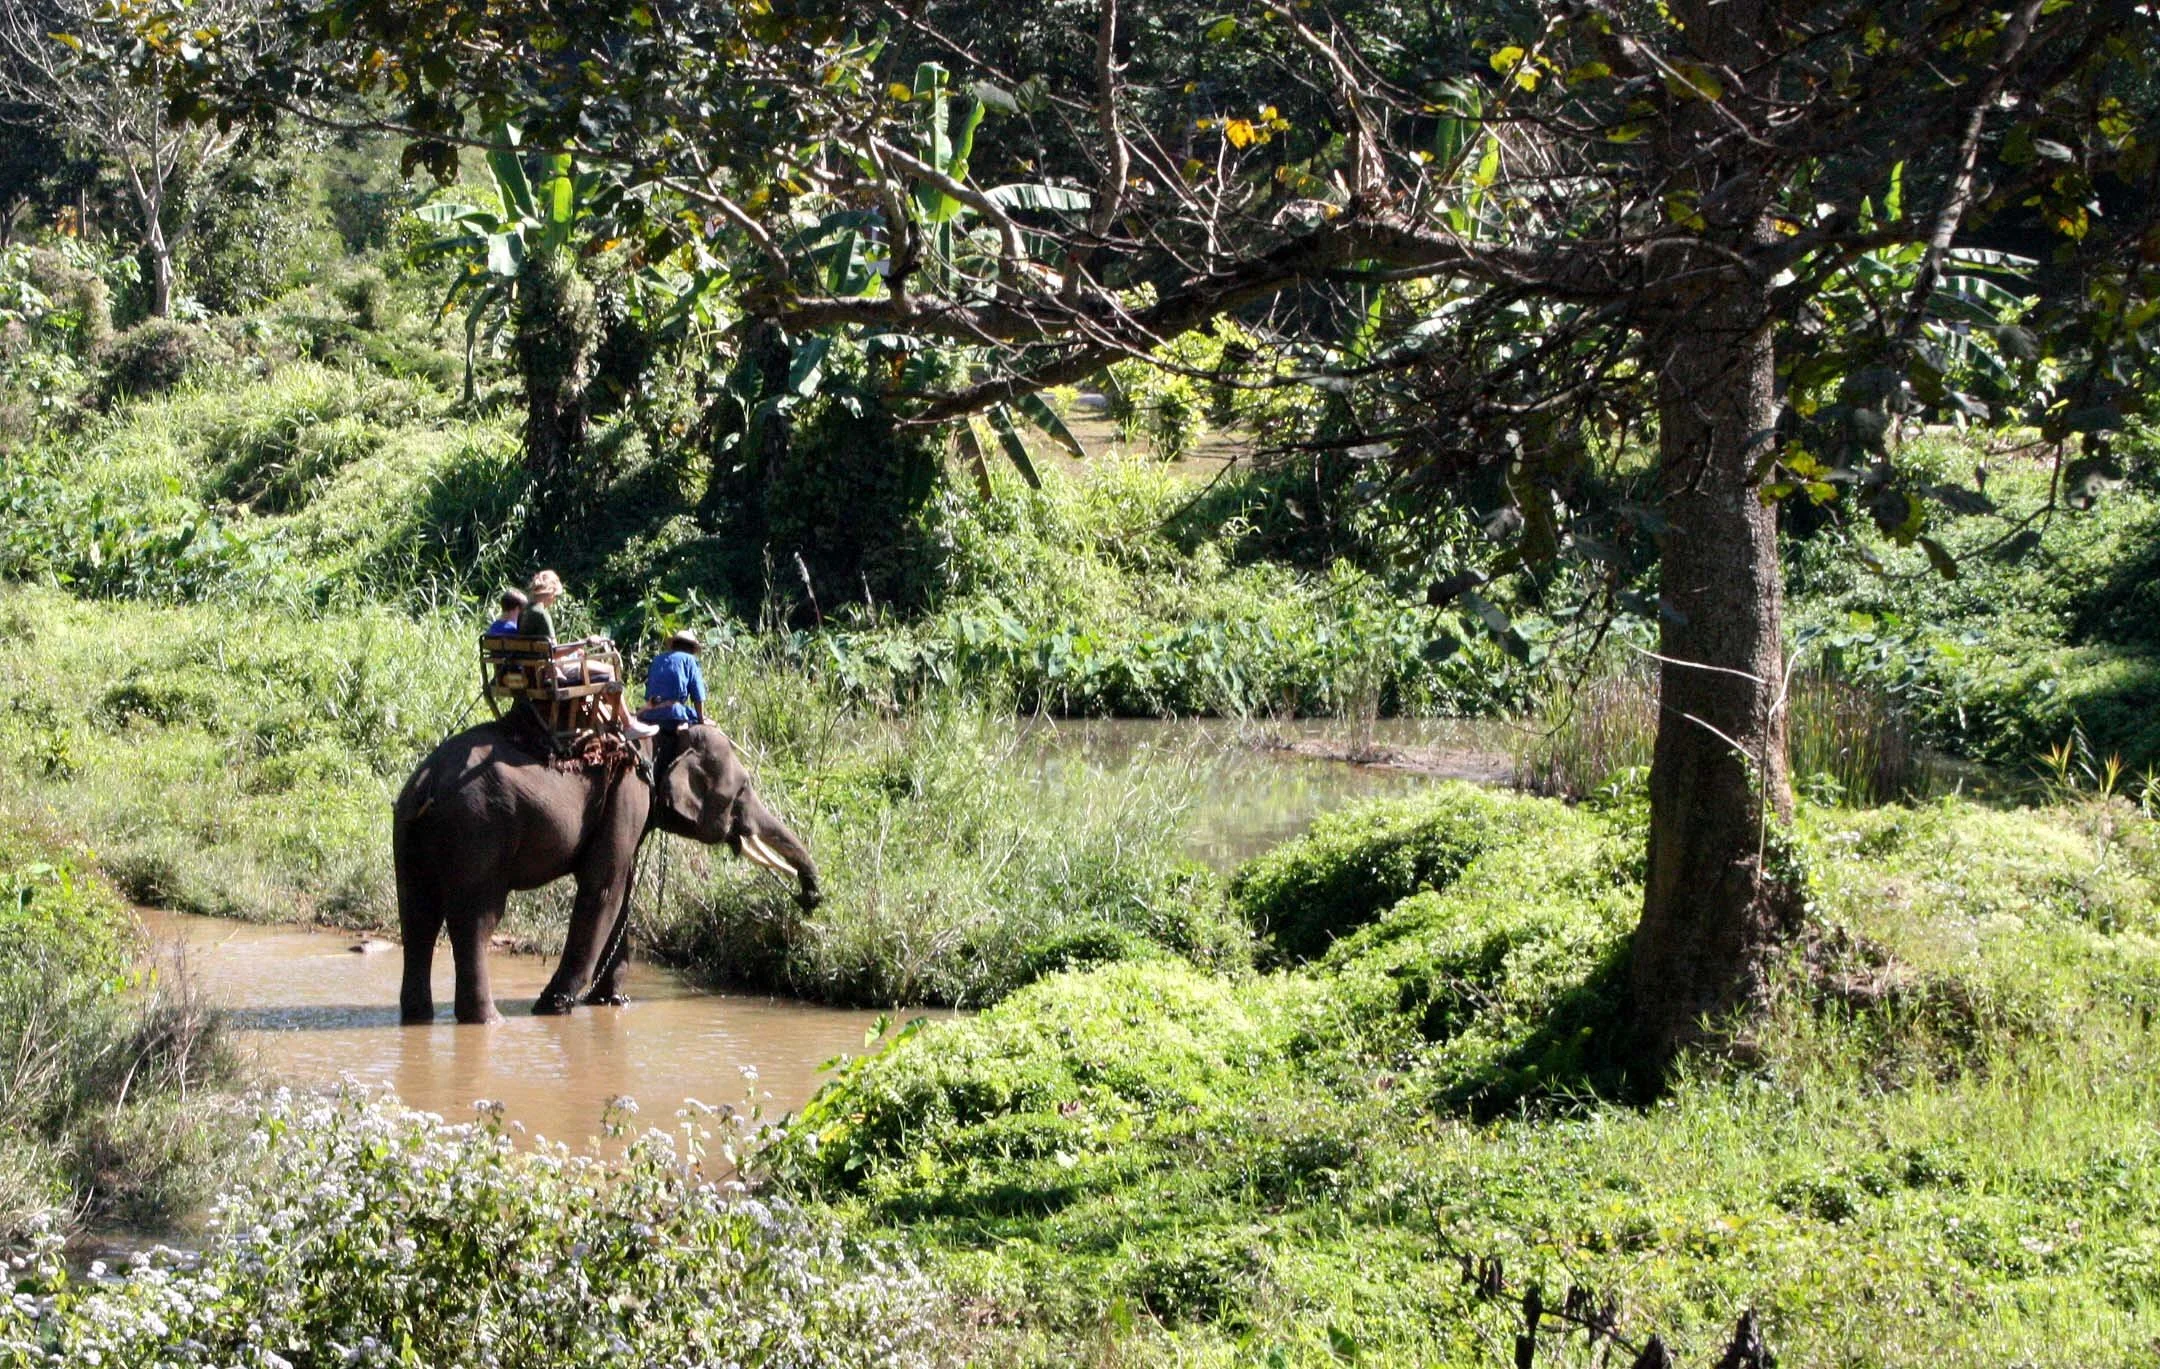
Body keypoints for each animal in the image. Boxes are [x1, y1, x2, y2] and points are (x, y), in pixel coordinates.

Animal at [392, 721, 819, 1024]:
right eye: (743, 789)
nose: (810, 898)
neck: (660, 734)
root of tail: (426, 784)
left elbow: (622, 891)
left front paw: (613, 1002)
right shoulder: (627, 790)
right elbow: (604, 888)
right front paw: (553, 1008)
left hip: (411, 836)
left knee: (417, 916)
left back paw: (418, 1017)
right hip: (478, 831)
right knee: (477, 920)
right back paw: (489, 1021)